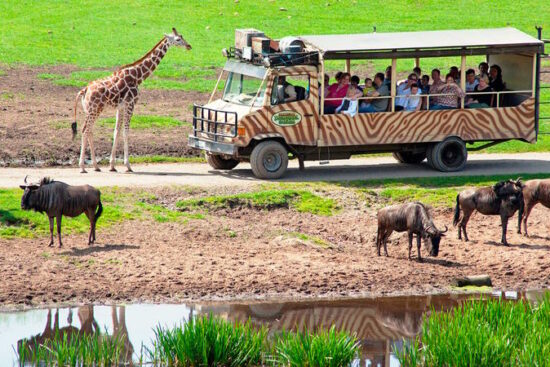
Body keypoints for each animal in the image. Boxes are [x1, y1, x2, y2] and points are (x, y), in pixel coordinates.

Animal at [73, 28, 193, 173]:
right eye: (178, 39)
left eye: (182, 36)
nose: (189, 46)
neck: (137, 76)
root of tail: (84, 90)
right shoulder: (131, 104)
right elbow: (126, 132)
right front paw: (128, 165)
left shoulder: (120, 107)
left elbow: (116, 132)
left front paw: (112, 165)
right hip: (95, 109)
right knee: (85, 129)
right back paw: (82, 167)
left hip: (91, 110)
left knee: (89, 130)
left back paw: (96, 166)